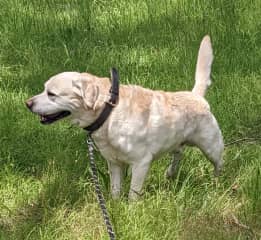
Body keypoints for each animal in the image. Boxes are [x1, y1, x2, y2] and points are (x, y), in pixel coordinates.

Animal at [25, 35, 222, 200]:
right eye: (44, 89)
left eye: (51, 94)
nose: (27, 103)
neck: (108, 112)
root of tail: (196, 95)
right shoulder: (114, 163)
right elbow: (115, 190)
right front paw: (115, 204)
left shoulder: (141, 163)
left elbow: (133, 194)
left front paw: (131, 210)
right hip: (176, 141)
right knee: (178, 153)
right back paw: (170, 173)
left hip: (212, 147)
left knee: (218, 164)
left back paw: (216, 184)